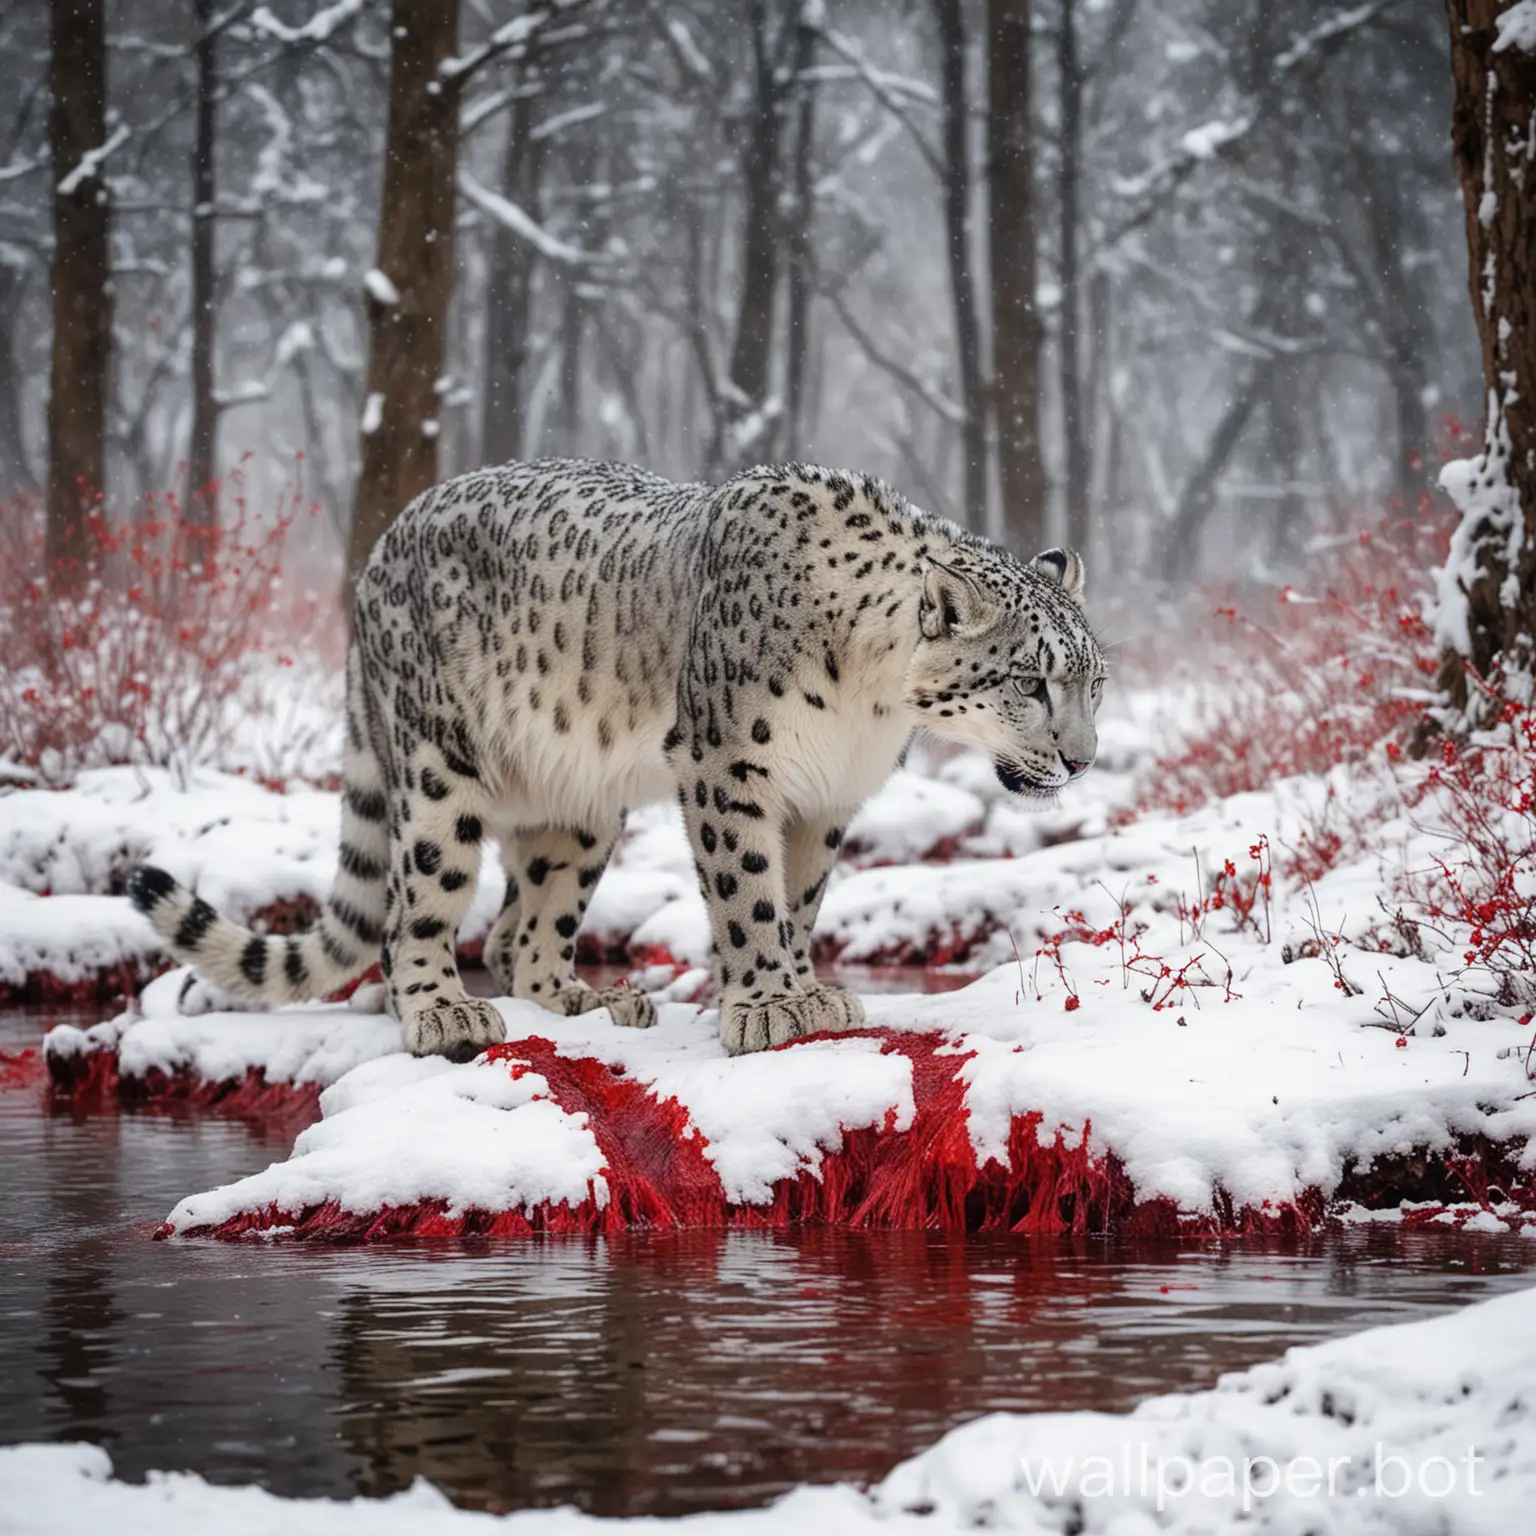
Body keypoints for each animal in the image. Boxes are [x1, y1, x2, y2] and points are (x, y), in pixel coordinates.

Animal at [125, 457, 1099, 1056]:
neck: (866, 702)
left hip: (581, 809)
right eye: (1030, 680)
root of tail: (379, 553)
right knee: (414, 909)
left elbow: (799, 899)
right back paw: (441, 1011)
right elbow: (748, 891)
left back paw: (588, 998)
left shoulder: (825, 796)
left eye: (1093, 681)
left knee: (524, 928)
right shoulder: (728, 764)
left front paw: (802, 991)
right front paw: (768, 1005)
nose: (1083, 760)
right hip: (437, 767)